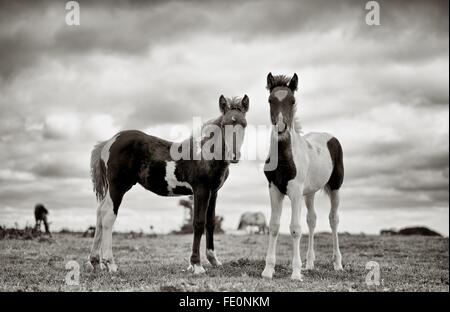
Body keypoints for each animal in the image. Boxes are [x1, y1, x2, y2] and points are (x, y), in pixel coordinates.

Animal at [88, 94, 250, 272]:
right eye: (224, 124)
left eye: (244, 124)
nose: (234, 155)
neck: (205, 154)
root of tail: (109, 142)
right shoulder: (201, 190)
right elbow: (198, 223)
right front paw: (197, 265)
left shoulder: (213, 192)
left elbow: (210, 223)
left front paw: (213, 260)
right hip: (118, 187)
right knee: (108, 216)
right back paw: (110, 263)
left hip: (112, 189)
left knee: (100, 212)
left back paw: (95, 261)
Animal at [260, 73, 344, 280]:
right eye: (270, 100)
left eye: (292, 100)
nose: (281, 128)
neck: (284, 157)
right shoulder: (274, 189)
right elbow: (274, 226)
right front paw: (268, 270)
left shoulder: (296, 192)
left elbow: (295, 229)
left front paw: (296, 272)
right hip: (310, 193)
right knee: (312, 220)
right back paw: (310, 264)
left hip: (336, 187)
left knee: (333, 219)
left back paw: (337, 264)